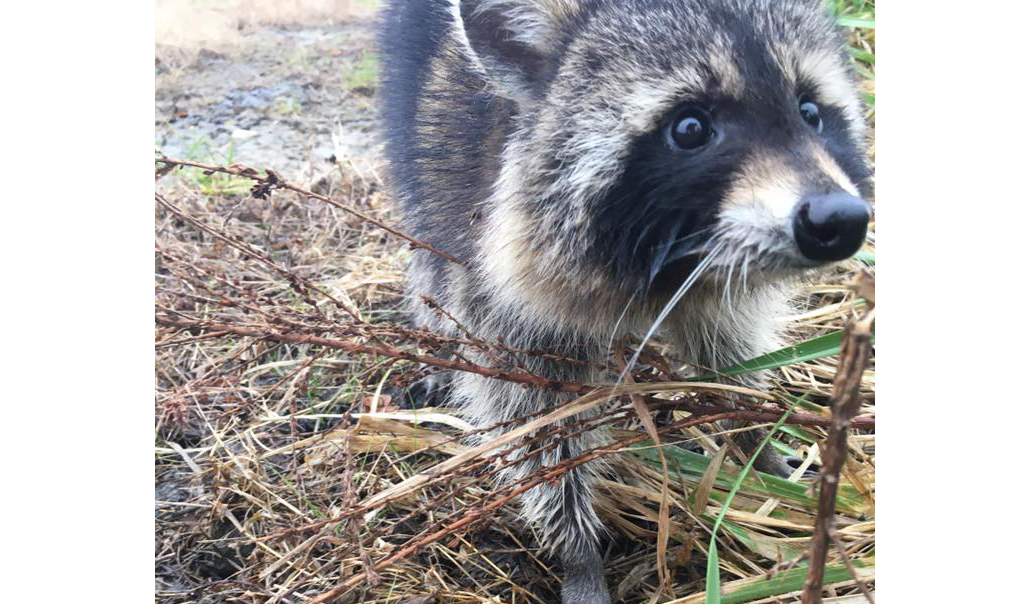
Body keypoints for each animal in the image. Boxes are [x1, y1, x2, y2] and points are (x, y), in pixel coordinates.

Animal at [378, 1, 872, 602]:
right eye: (689, 128)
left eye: (811, 111)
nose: (839, 219)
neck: (670, 260)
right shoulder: (491, 260)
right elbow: (534, 418)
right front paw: (577, 551)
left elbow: (729, 355)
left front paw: (758, 446)